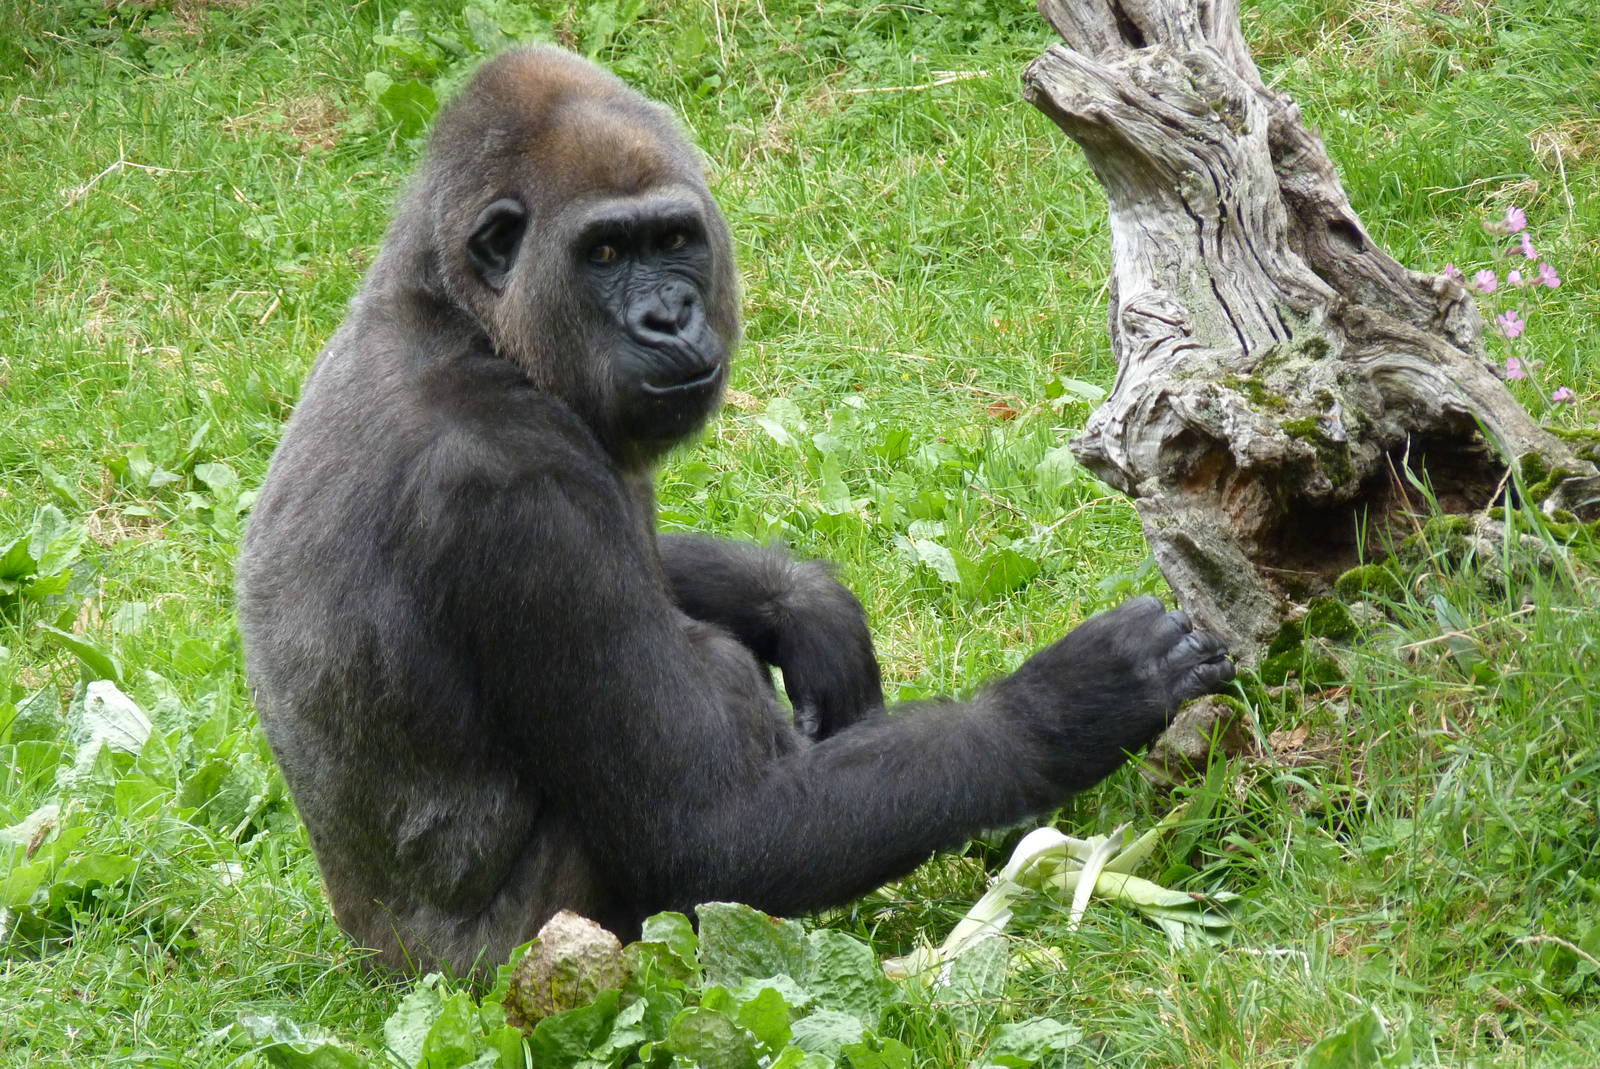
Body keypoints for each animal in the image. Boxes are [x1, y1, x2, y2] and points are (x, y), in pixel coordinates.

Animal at [236, 45, 1233, 977]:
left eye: (674, 239)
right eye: (604, 254)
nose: (669, 317)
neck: (465, 319)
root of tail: (379, 965)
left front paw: (808, 607)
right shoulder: (509, 486)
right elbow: (711, 829)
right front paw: (1066, 707)